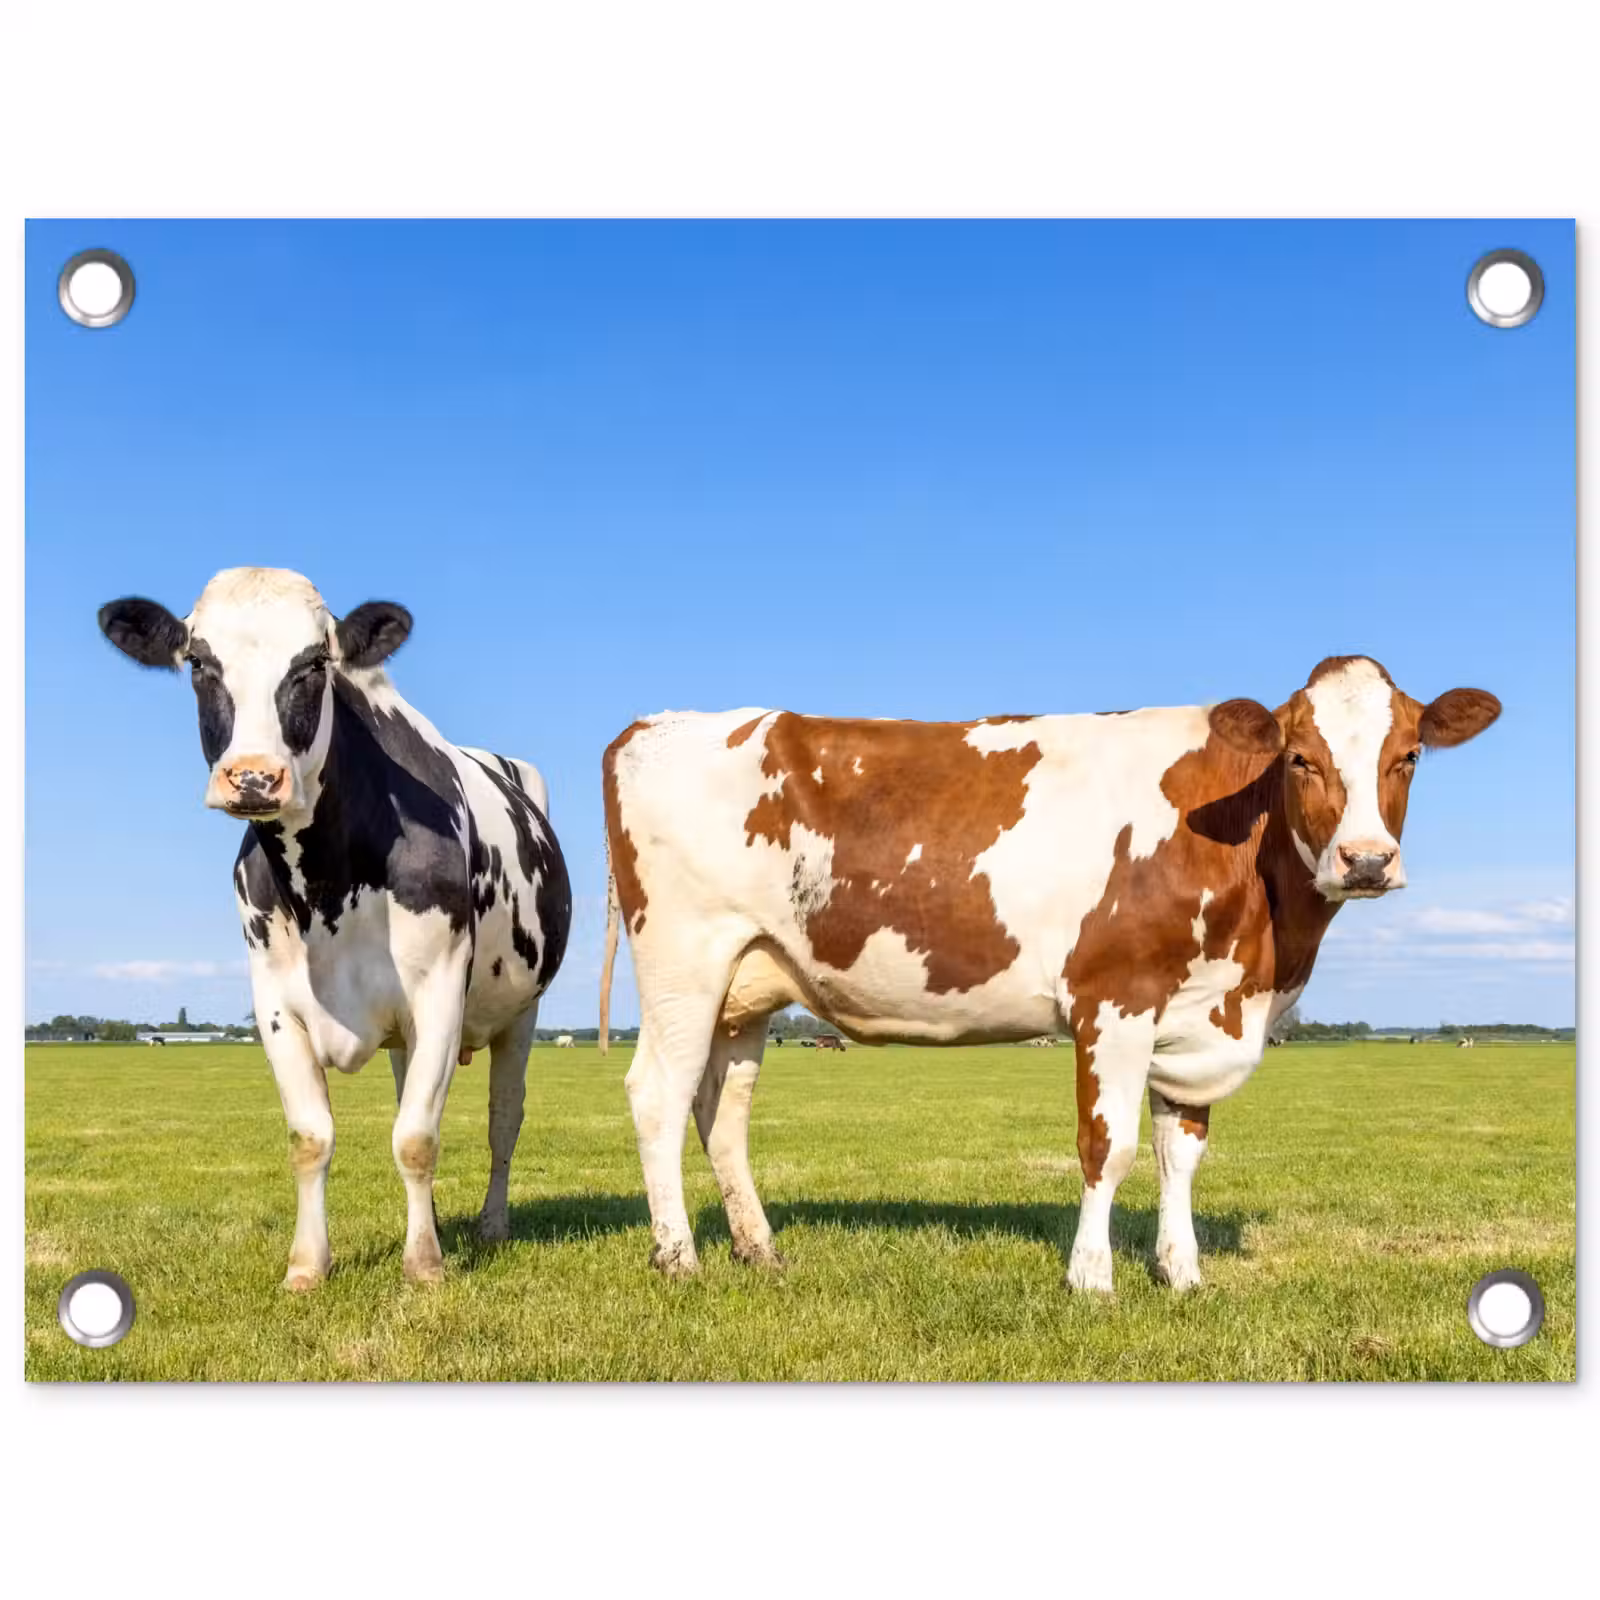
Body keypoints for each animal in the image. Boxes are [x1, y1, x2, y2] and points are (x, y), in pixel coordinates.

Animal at [98, 567, 571, 1289]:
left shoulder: (439, 993)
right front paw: (307, 1265)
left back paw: (491, 1225)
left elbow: (417, 1137)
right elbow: (313, 1138)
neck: (323, 886)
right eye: (199, 662)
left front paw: (425, 1267)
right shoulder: (275, 1004)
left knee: (502, 1119)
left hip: (519, 1014)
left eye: (314, 664)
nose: (254, 777)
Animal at [598, 655, 1498, 1292]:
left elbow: (1181, 1151)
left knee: (722, 1109)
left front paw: (1182, 1273)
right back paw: (678, 1257)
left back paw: (759, 1250)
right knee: (658, 1095)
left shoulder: (1201, 1010)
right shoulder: (1115, 997)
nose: (1367, 861)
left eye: (1409, 755)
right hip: (683, 959)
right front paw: (1092, 1279)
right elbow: (1111, 1146)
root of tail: (655, 724)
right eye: (1302, 758)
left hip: (747, 983)